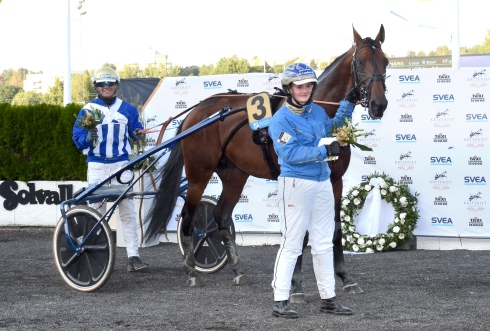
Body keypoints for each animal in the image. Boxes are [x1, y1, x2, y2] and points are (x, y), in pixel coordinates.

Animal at [144, 25, 388, 294]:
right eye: (361, 61)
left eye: (385, 62)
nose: (379, 104)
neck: (314, 113)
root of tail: (196, 113)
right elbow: (300, 232)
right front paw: (295, 281)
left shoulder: (335, 181)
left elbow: (335, 228)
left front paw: (345, 277)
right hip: (199, 174)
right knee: (189, 216)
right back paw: (190, 270)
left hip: (235, 174)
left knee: (221, 216)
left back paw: (237, 270)